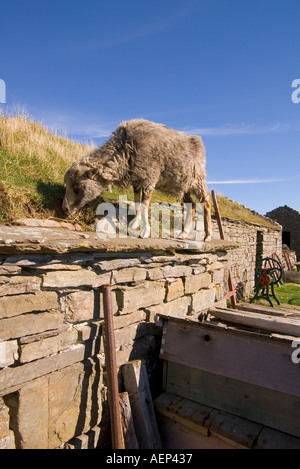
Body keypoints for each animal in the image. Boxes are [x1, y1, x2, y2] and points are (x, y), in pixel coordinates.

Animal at [62, 117, 212, 241]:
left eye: (77, 187)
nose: (64, 209)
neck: (124, 147)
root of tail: (198, 141)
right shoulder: (137, 179)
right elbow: (137, 202)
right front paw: (135, 223)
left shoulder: (149, 177)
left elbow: (145, 205)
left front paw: (145, 231)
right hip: (181, 185)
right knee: (191, 205)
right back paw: (183, 233)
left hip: (198, 180)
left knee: (206, 203)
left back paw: (208, 235)